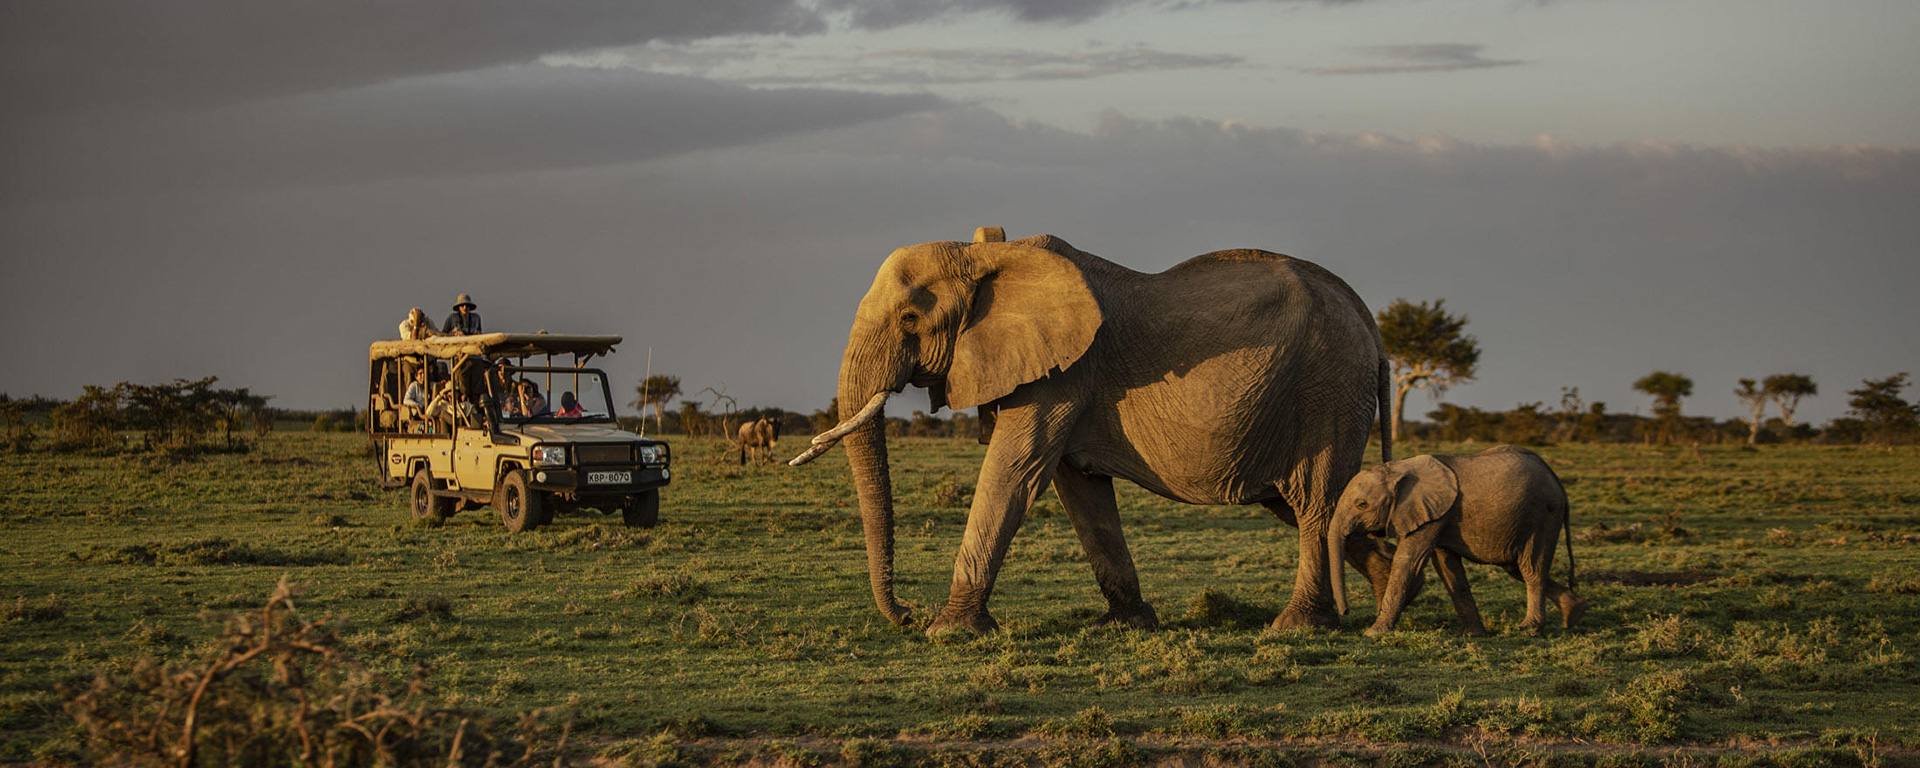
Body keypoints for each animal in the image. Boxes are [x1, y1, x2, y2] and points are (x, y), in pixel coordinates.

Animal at [787, 228, 1390, 637]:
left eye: (911, 319)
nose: (907, 615)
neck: (987, 253)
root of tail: (1369, 320)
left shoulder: (1061, 375)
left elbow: (1014, 474)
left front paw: (949, 633)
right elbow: (1080, 491)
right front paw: (1127, 624)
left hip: (1328, 389)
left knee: (1314, 501)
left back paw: (1299, 626)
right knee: (1315, 505)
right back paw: (1392, 604)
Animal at [1328, 443, 1582, 637]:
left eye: (1361, 505)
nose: (1345, 612)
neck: (1398, 468)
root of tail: (1557, 482)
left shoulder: (1431, 514)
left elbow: (1409, 560)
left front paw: (1373, 633)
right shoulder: (1439, 514)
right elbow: (1448, 567)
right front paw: (1471, 634)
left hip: (1543, 515)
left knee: (1531, 568)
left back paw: (1530, 629)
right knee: (1515, 567)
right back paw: (1574, 612)